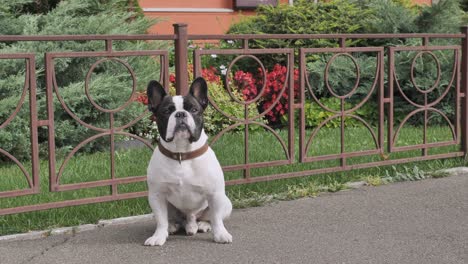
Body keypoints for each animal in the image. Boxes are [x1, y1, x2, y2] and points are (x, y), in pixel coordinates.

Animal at [144, 77, 232, 246]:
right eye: (166, 111)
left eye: (194, 110)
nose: (180, 114)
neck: (182, 154)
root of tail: (190, 221)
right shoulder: (157, 195)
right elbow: (160, 220)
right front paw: (159, 236)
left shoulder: (215, 194)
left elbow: (217, 218)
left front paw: (221, 234)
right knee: (172, 219)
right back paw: (172, 226)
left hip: (226, 203)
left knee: (209, 217)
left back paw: (203, 224)